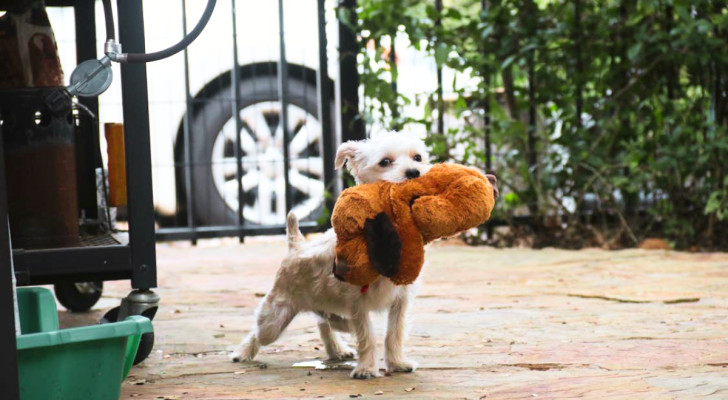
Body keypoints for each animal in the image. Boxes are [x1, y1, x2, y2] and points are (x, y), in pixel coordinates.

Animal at [230, 131, 430, 378]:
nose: (413, 172)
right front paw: (366, 368)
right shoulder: (358, 303)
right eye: (385, 162)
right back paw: (243, 353)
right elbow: (366, 335)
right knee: (259, 332)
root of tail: (296, 247)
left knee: (324, 322)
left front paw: (397, 363)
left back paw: (337, 348)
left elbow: (394, 334)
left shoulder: (400, 302)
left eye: (417, 157)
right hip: (275, 318)